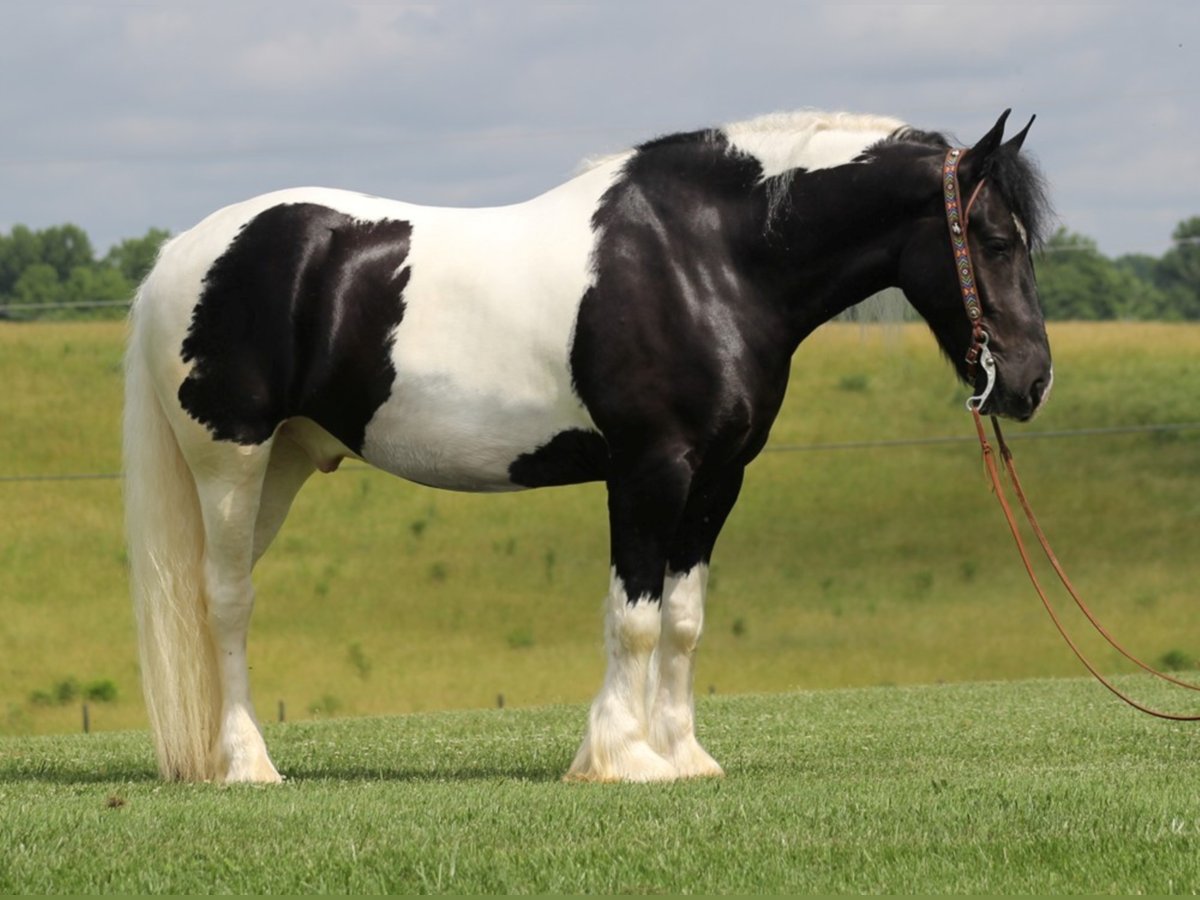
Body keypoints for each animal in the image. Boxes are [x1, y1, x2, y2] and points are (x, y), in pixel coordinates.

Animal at [124, 103, 1051, 782]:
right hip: (231, 460)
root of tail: (180, 255)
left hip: (280, 464)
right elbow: (633, 617)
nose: (1031, 382)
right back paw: (249, 765)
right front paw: (623, 758)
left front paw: (685, 756)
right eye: (996, 240)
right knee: (226, 601)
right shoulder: (650, 470)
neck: (708, 259)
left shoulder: (718, 478)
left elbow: (683, 619)